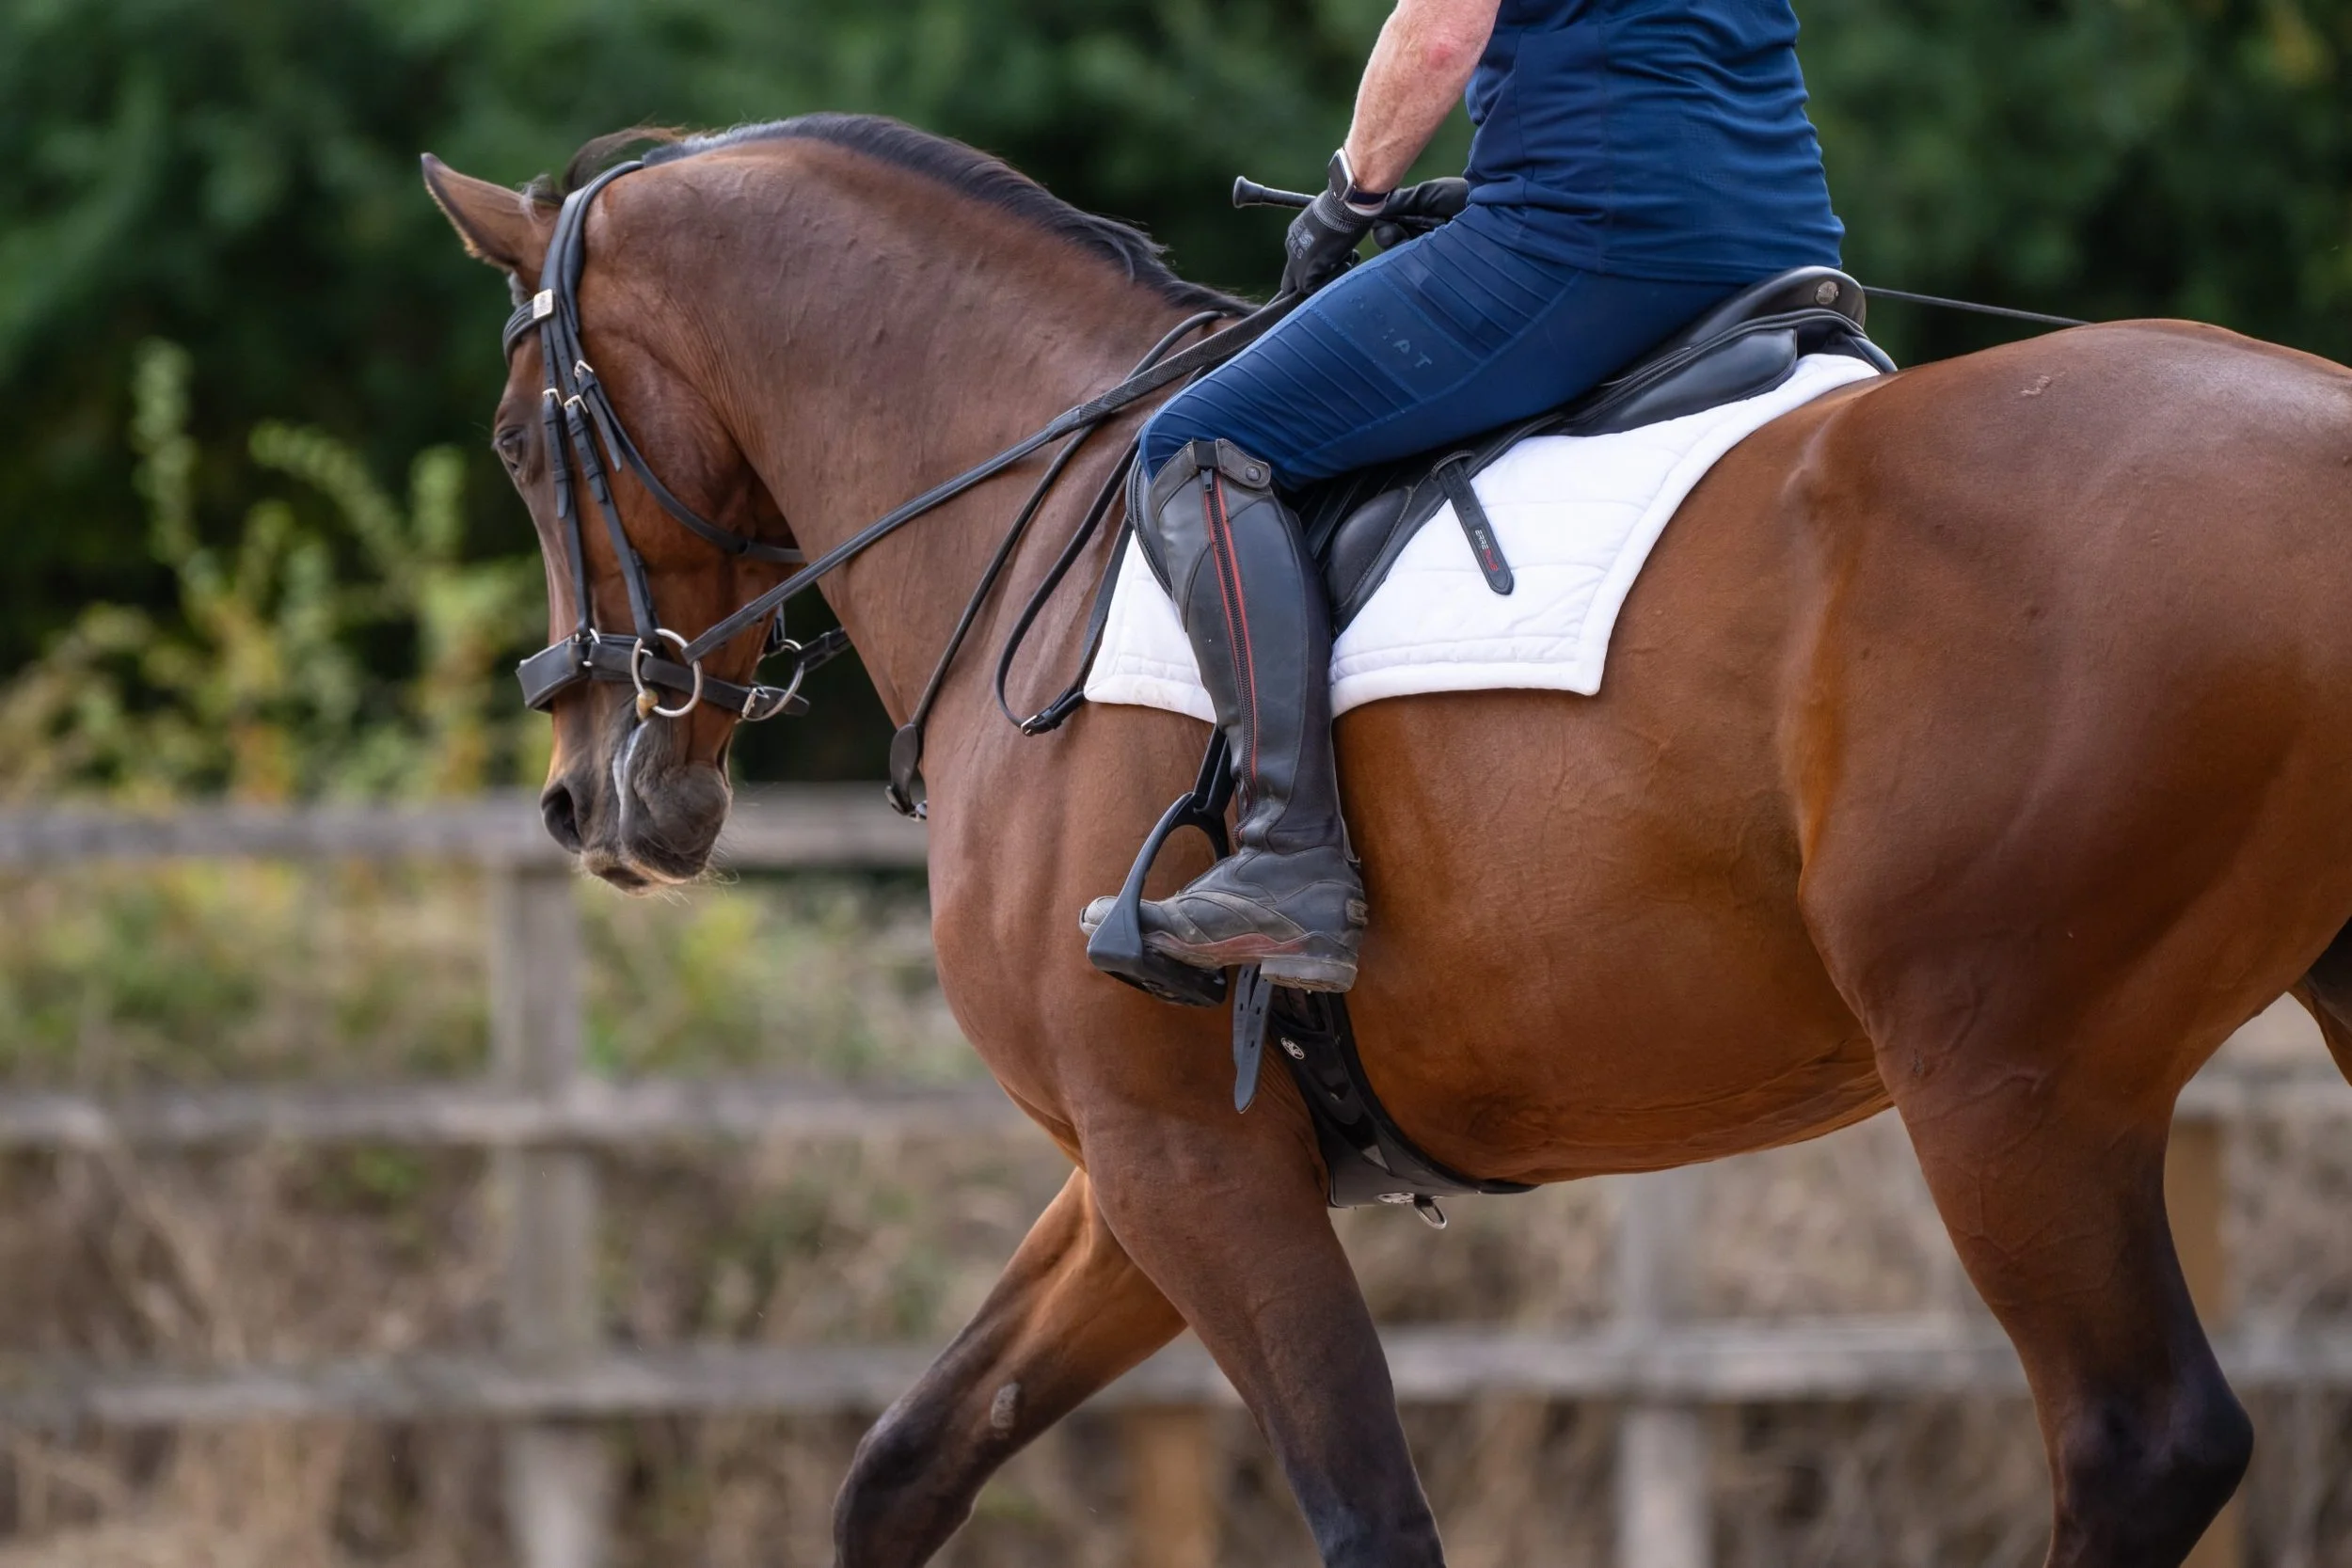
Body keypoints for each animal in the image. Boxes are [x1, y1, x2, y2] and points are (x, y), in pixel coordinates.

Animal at [423, 115, 2352, 1567]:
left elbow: (1370, 1515)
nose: (590, 796)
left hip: (2009, 1081)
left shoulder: (1181, 1160)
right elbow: (907, 1461)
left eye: (519, 442)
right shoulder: (1146, 1167)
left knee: (2141, 1441)